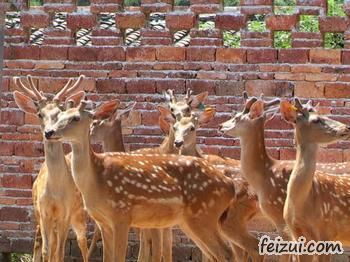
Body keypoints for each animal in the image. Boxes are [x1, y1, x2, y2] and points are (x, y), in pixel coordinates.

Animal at [13, 74, 88, 260]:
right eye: (39, 114)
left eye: (60, 113)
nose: (49, 132)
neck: (55, 191)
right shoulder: (44, 211)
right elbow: (48, 251)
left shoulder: (65, 213)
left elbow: (60, 252)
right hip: (39, 215)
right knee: (44, 244)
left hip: (79, 214)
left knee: (83, 243)